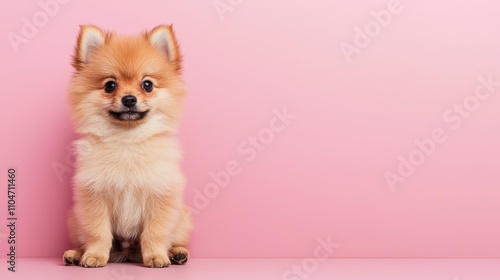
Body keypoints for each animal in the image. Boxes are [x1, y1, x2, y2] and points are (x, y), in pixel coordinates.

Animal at [63, 25, 192, 268]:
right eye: (110, 85)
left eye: (147, 84)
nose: (129, 99)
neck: (128, 140)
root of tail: (128, 252)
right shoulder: (94, 195)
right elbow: (98, 232)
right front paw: (95, 255)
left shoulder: (159, 195)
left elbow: (155, 232)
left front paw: (156, 256)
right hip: (75, 220)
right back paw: (75, 254)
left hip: (182, 219)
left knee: (176, 239)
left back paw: (177, 253)